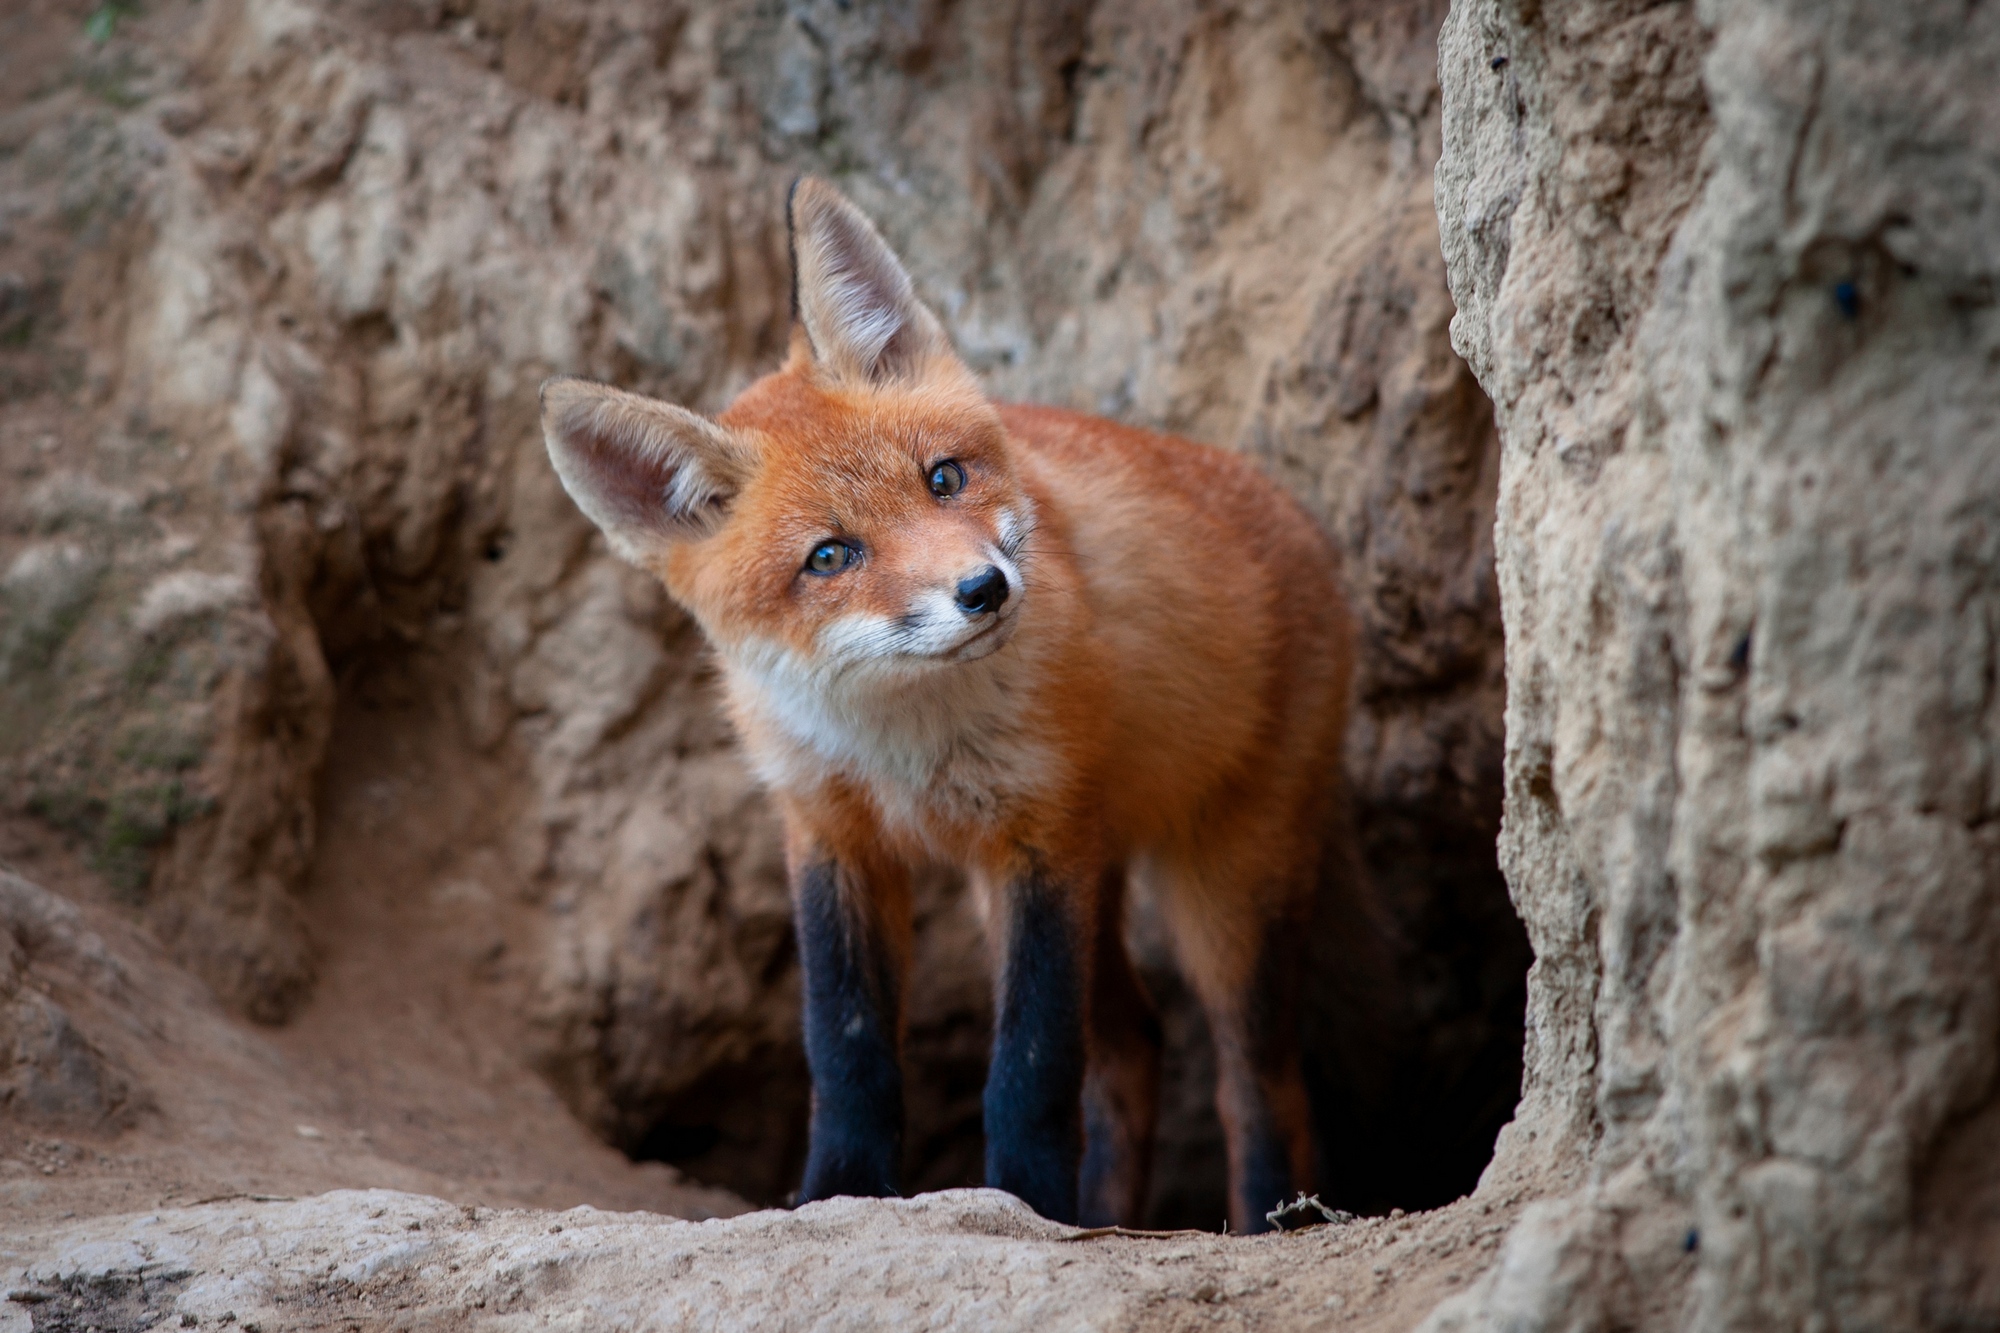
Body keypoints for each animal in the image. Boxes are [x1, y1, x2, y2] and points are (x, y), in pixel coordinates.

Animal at [544, 179, 1360, 1232]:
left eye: (944, 478)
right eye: (830, 556)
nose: (984, 589)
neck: (905, 740)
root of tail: (1302, 520)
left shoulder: (1040, 838)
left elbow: (1029, 1067)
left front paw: (1024, 1198)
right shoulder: (832, 834)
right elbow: (846, 1048)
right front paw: (838, 1192)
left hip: (1225, 892)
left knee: (1256, 1081)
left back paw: (1259, 1219)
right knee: (1133, 1048)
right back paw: (1105, 1215)